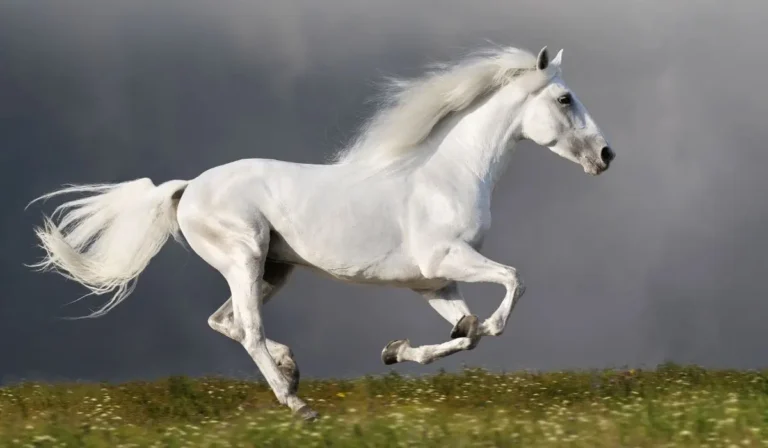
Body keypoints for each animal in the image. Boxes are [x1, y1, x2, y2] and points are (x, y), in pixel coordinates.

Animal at [27, 45, 615, 421]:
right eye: (565, 99)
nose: (607, 155)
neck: (448, 174)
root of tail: (188, 187)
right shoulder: (447, 259)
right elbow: (512, 285)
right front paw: (482, 325)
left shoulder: (432, 283)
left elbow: (464, 333)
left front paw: (396, 351)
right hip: (244, 258)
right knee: (247, 328)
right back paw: (298, 404)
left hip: (273, 269)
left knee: (226, 321)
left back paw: (291, 371)